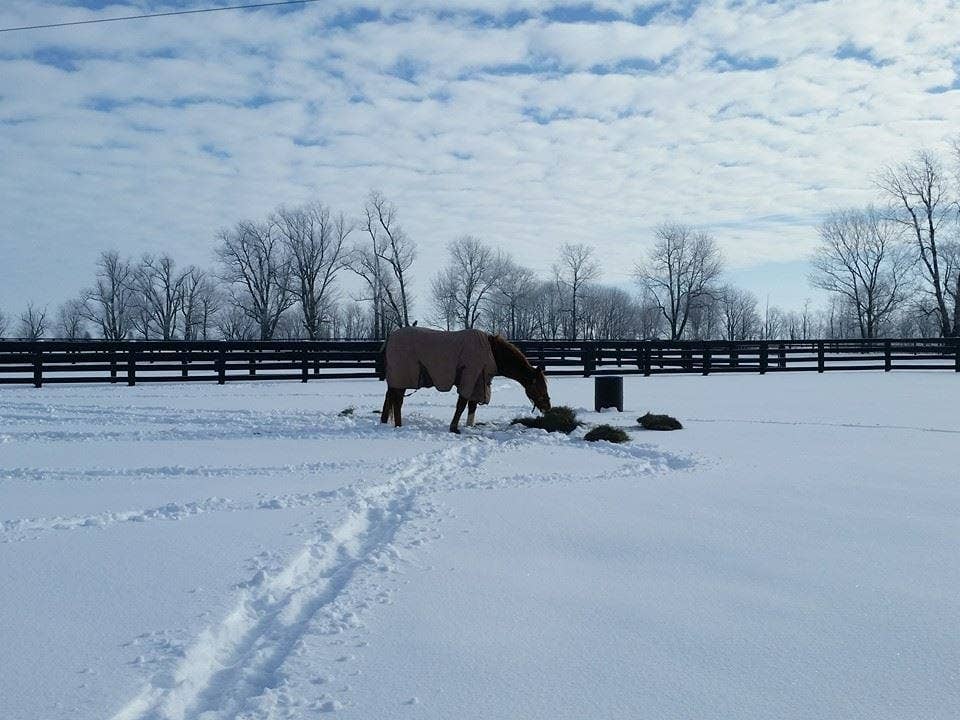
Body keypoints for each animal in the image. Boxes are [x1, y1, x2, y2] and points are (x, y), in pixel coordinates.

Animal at [379, 327, 551, 433]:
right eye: (539, 387)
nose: (548, 408)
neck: (492, 352)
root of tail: (389, 338)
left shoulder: (478, 381)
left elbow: (472, 406)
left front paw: (470, 426)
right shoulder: (470, 376)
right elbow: (462, 404)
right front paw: (454, 428)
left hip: (394, 380)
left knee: (388, 398)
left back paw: (384, 422)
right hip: (401, 378)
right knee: (397, 402)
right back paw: (399, 425)